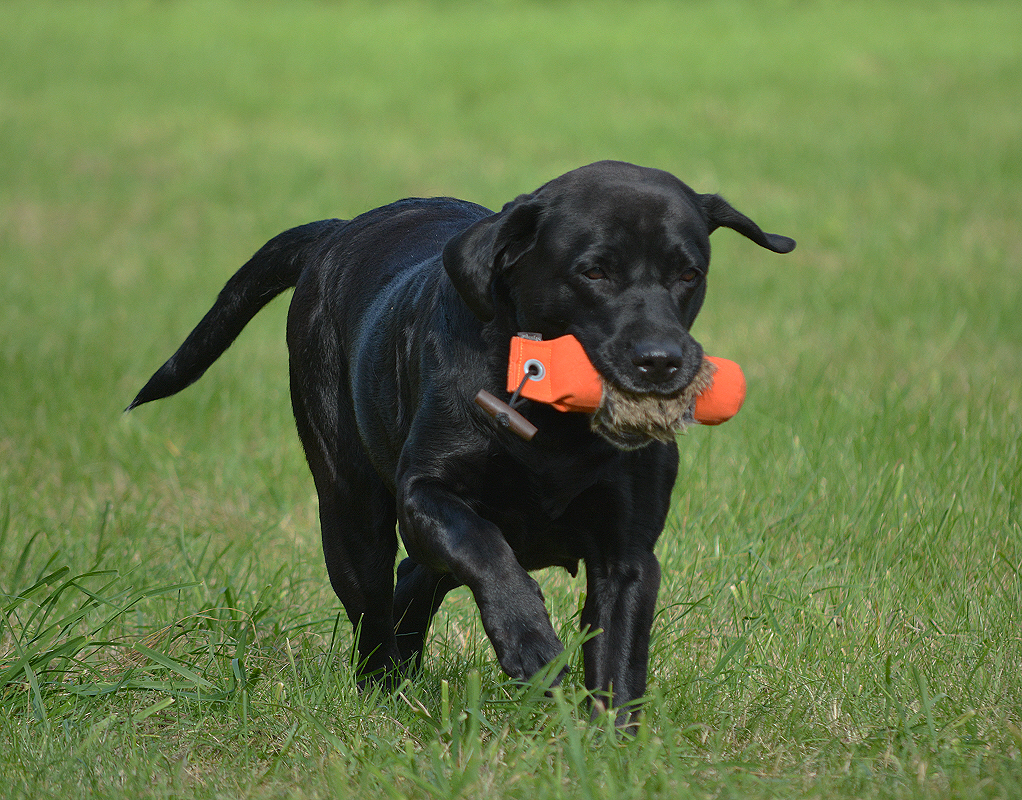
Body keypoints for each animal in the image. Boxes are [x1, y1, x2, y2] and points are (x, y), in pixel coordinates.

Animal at [127, 159, 793, 723]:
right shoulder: (427, 495)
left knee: (414, 578)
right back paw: (383, 690)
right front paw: (530, 643)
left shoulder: (627, 551)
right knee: (375, 607)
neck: (556, 430)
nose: (662, 361)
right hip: (350, 510)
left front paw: (609, 749)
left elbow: (618, 659)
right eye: (594, 271)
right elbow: (484, 550)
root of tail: (333, 235)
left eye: (688, 274)